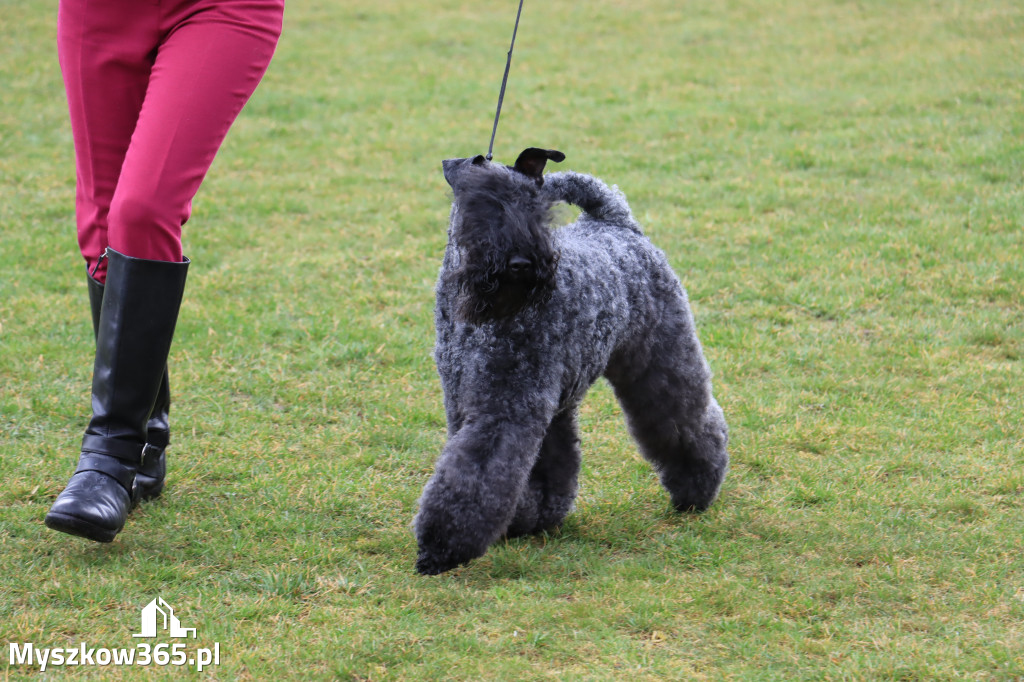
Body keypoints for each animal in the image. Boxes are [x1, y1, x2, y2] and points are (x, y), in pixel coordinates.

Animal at [413, 148, 729, 573]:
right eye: (484, 204)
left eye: (536, 207)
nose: (522, 262)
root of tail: (617, 223)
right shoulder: (476, 401)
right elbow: (538, 463)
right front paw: (528, 520)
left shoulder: (505, 407)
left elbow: (477, 472)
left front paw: (440, 546)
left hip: (663, 360)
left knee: (688, 420)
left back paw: (696, 490)